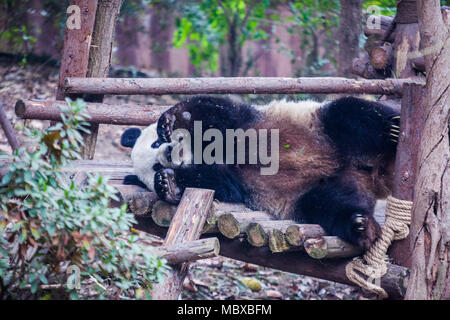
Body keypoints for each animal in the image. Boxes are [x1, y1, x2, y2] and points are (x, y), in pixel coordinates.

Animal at [121, 95, 400, 250]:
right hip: (312, 193)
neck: (199, 154)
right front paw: (167, 183)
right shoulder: (232, 180)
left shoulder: (244, 123)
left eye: (155, 143)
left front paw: (173, 120)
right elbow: (217, 184)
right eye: (155, 166)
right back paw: (360, 226)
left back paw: (393, 129)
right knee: (331, 203)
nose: (169, 153)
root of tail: (370, 175)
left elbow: (217, 112)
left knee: (352, 115)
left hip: (322, 127)